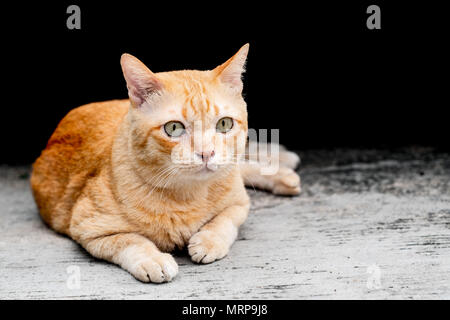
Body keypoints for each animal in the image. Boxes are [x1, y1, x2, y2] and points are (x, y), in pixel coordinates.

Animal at [29, 44, 300, 282]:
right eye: (174, 128)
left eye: (224, 124)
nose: (206, 153)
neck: (187, 194)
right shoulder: (90, 227)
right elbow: (131, 240)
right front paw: (154, 260)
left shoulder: (239, 203)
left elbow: (225, 221)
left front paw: (208, 241)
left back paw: (281, 162)